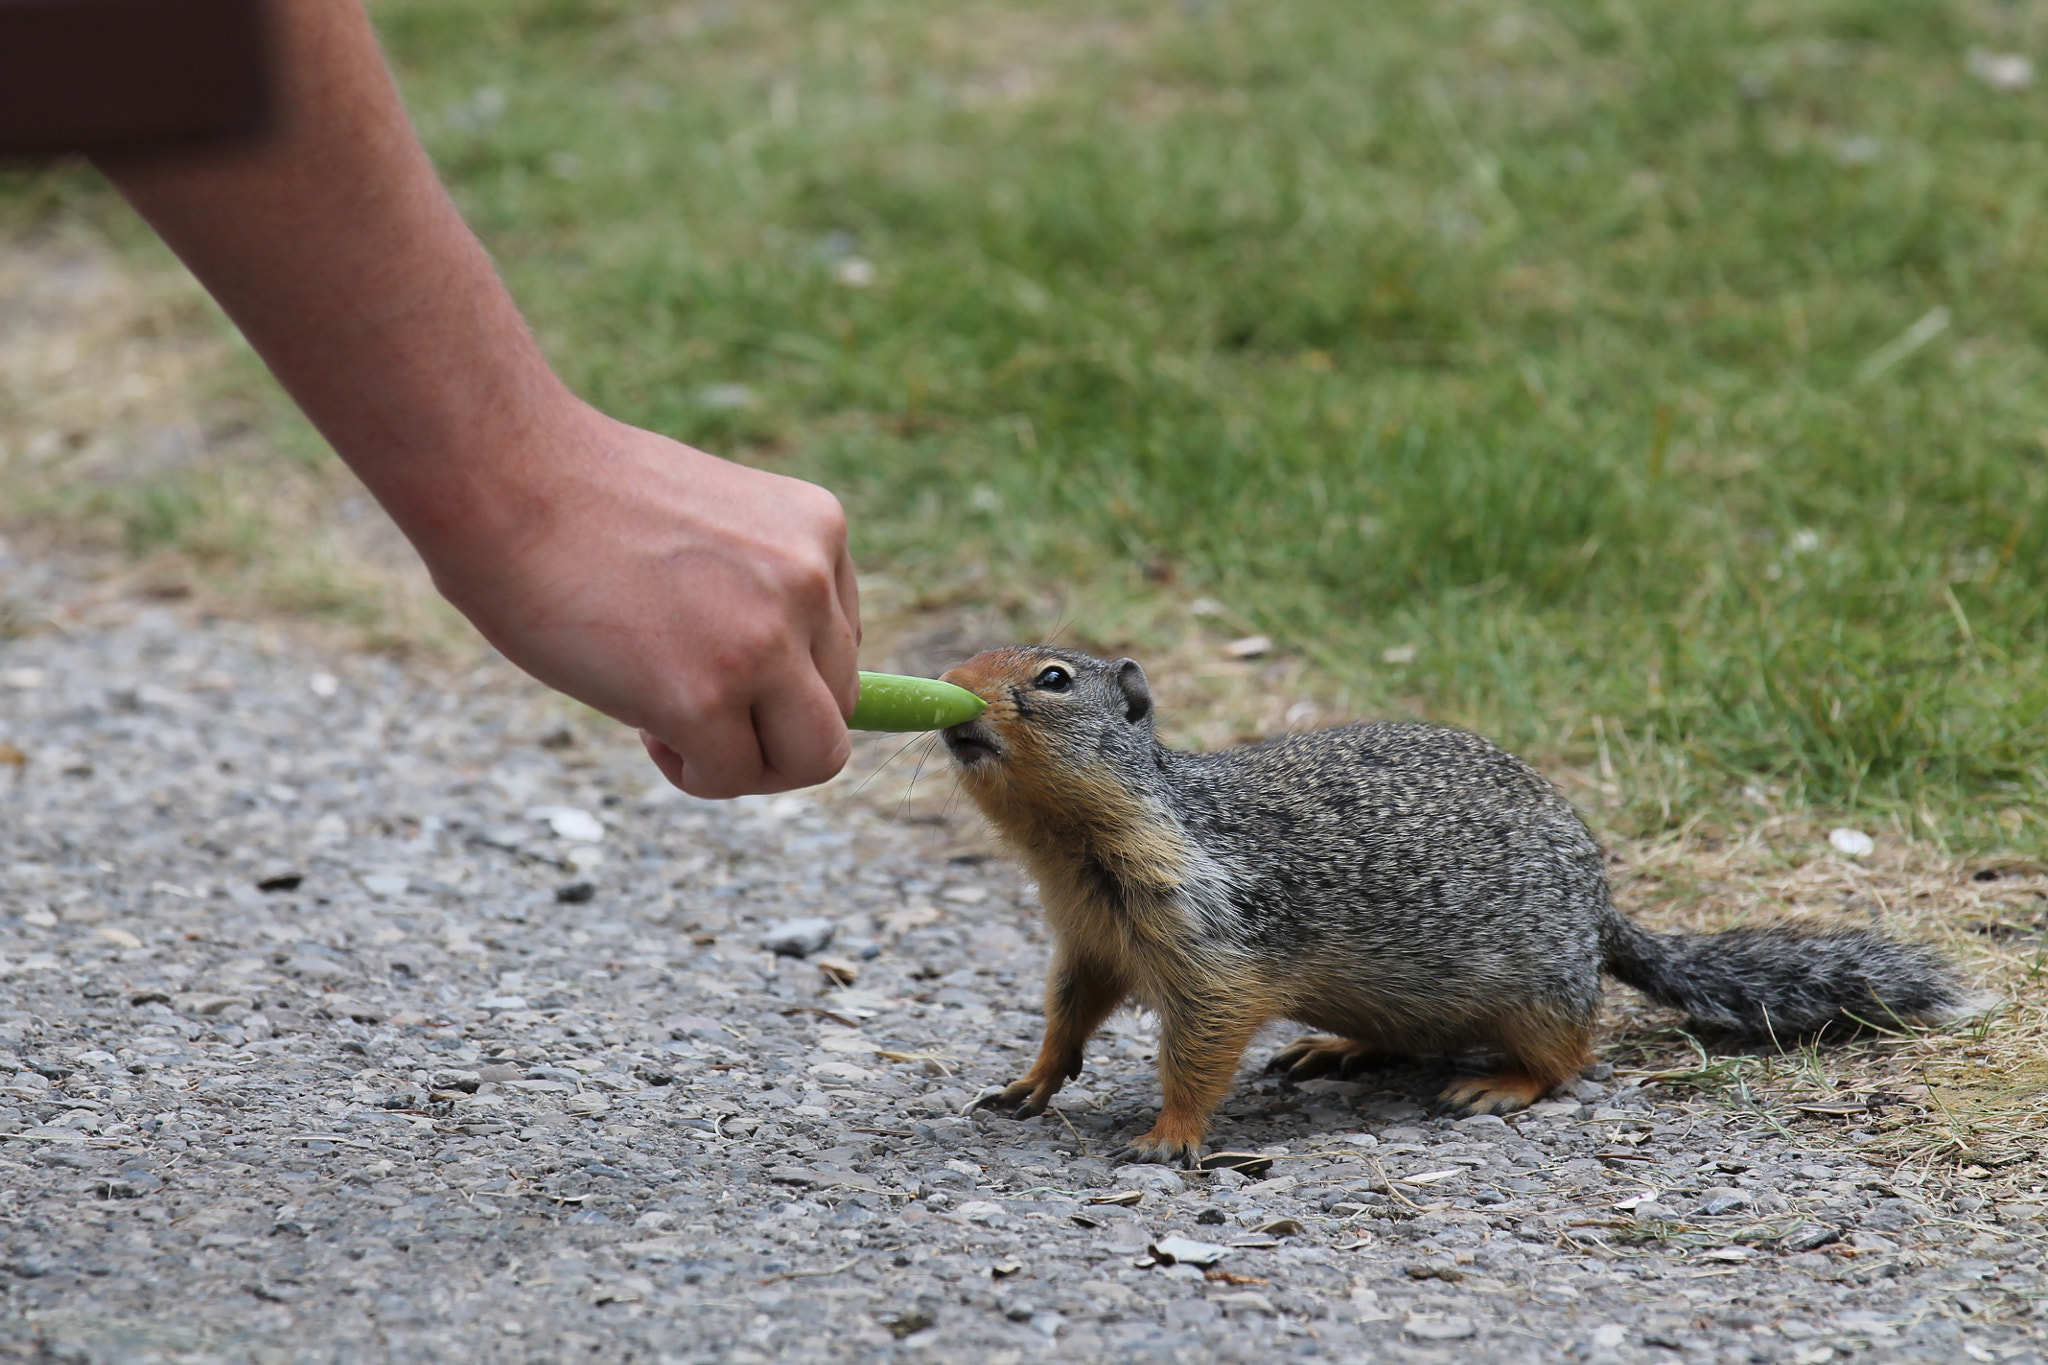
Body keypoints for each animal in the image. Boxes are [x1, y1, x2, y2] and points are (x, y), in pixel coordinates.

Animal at [937, 642, 1966, 1162]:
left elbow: (1199, 1042)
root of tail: (1604, 911)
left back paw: (1494, 1084)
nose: (946, 693)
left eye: (1053, 679)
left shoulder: (1209, 938)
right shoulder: (1087, 936)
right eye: (974, 650)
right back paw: (1335, 1049)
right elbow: (1070, 1008)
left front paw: (1166, 1135)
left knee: (1571, 1055)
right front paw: (1031, 1080)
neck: (1066, 846)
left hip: (1535, 991)